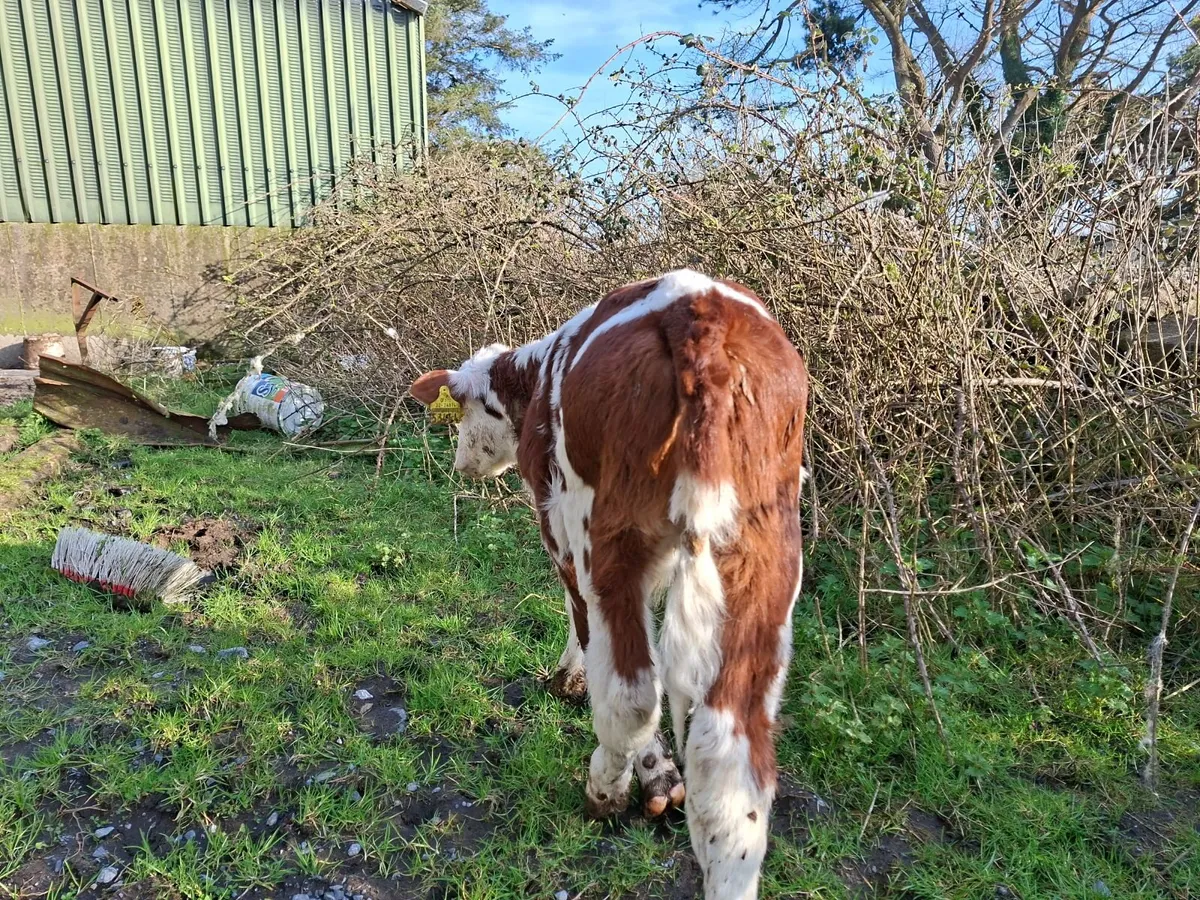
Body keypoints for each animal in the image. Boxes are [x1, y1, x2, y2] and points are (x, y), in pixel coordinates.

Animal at [409, 270, 809, 900]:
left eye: (477, 411)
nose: (462, 463)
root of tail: (699, 314)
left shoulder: (561, 526)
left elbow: (588, 632)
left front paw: (578, 690)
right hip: (763, 554)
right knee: (730, 754)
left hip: (609, 533)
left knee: (633, 694)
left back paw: (604, 789)